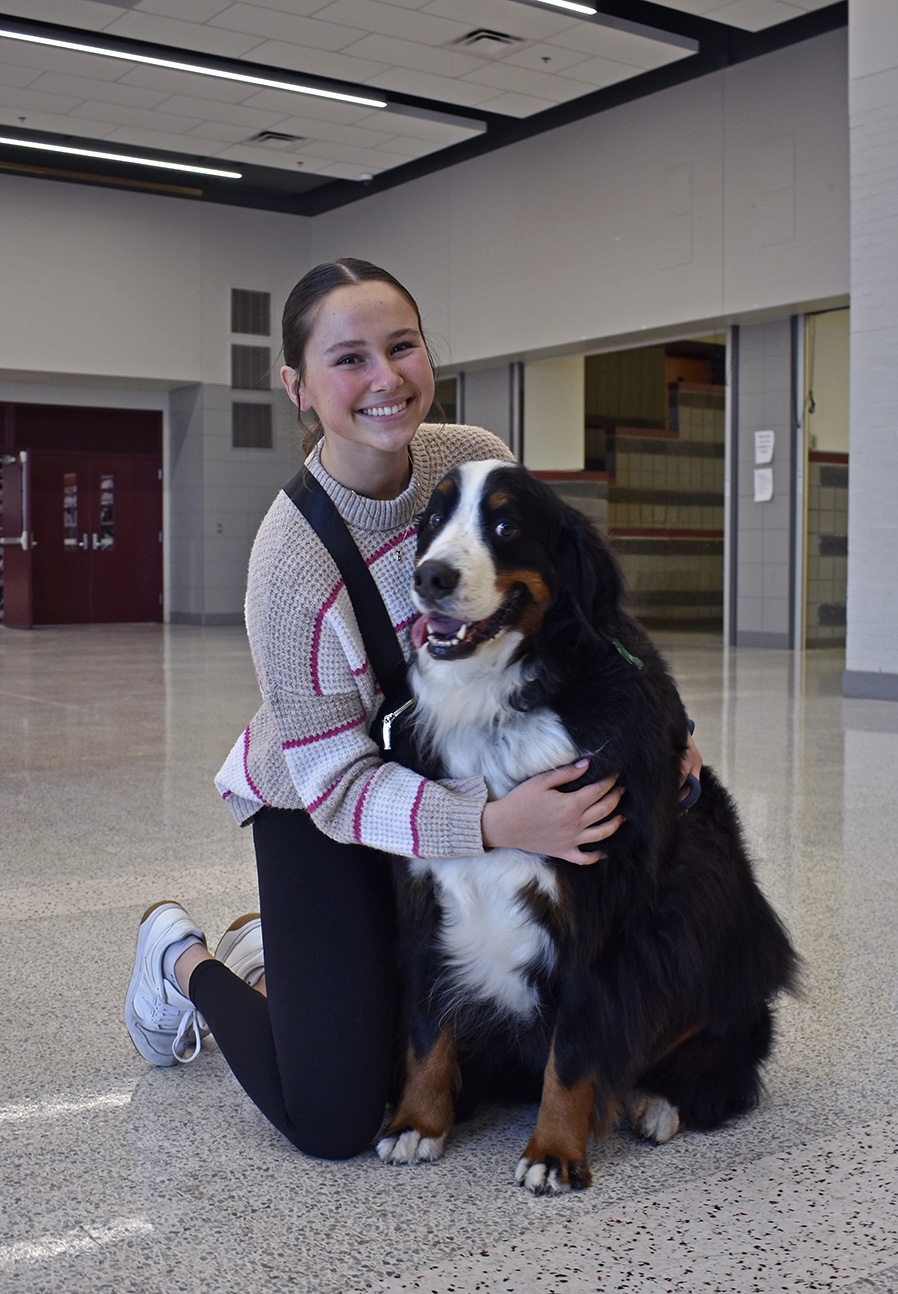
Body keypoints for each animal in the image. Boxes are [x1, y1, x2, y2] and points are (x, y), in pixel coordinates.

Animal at [375, 460, 797, 1195]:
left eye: (506, 525)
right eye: (432, 521)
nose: (431, 577)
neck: (500, 708)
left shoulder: (601, 917)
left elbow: (571, 1054)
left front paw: (554, 1152)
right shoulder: (427, 897)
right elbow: (427, 1026)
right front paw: (417, 1123)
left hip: (719, 962)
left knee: (718, 1069)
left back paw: (658, 1105)